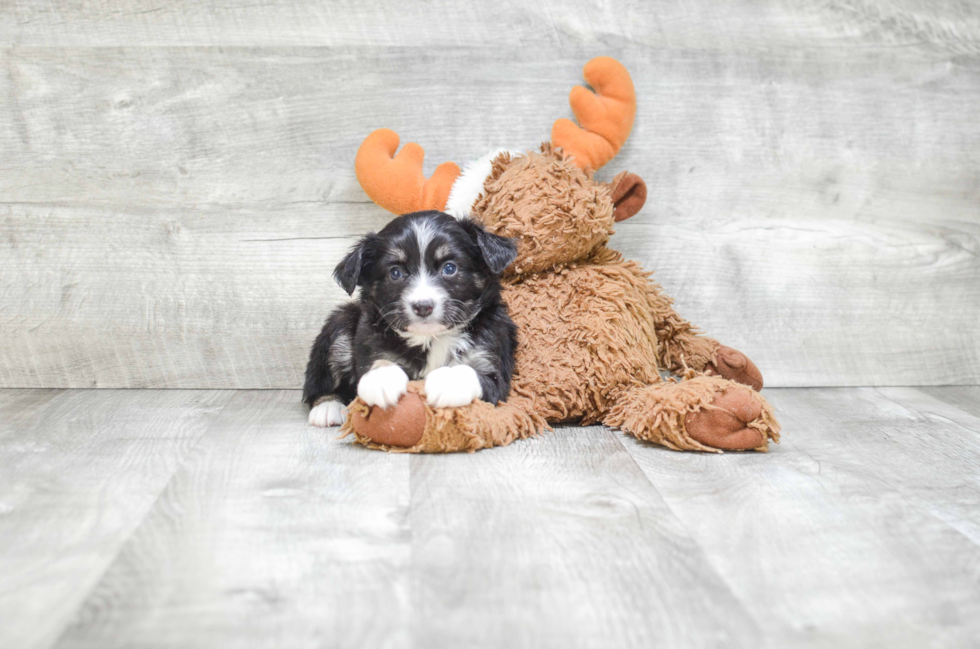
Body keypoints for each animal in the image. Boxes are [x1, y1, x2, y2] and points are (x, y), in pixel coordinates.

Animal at [304, 210, 520, 428]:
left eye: (449, 268)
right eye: (395, 272)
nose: (423, 306)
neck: (431, 338)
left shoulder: (493, 367)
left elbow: (472, 372)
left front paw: (446, 380)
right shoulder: (372, 346)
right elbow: (378, 363)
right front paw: (381, 378)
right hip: (341, 322)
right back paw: (328, 406)